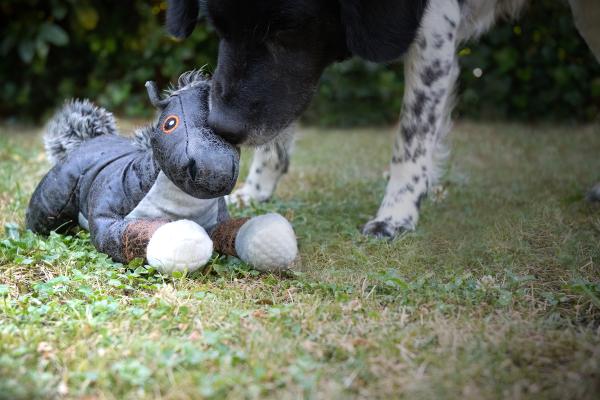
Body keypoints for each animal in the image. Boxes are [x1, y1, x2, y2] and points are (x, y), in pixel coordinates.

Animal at [164, 0, 600, 238]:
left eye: (286, 29)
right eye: (215, 26)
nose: (221, 128)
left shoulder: (433, 32)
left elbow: (413, 134)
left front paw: (397, 214)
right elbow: (276, 126)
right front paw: (257, 190)